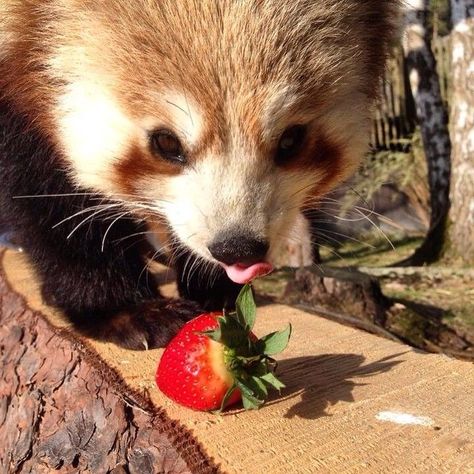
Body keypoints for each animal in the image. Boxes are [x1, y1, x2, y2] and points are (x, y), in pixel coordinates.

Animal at [0, 0, 400, 348]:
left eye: (291, 140)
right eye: (166, 142)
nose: (237, 247)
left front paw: (213, 287)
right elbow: (51, 201)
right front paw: (124, 308)